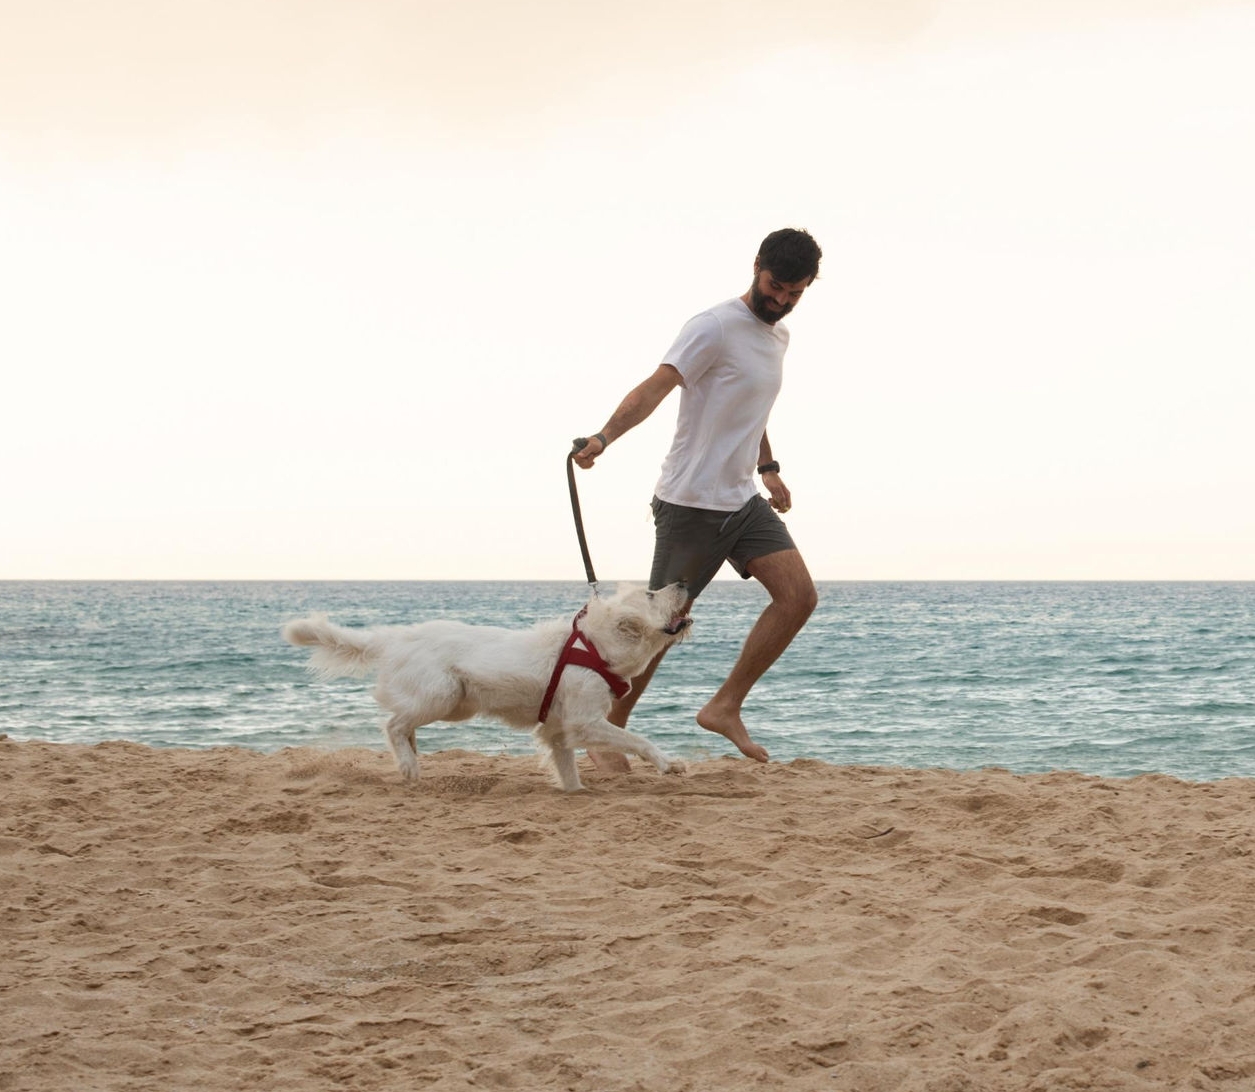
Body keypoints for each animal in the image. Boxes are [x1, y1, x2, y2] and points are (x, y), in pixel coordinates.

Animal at [281, 584, 692, 793]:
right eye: (651, 594)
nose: (683, 582)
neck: (595, 646)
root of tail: (397, 638)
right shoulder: (584, 722)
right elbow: (638, 740)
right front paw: (668, 764)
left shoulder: (557, 731)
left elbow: (568, 771)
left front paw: (575, 792)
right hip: (444, 694)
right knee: (392, 724)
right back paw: (409, 765)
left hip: (454, 703)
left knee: (401, 724)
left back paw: (410, 758)